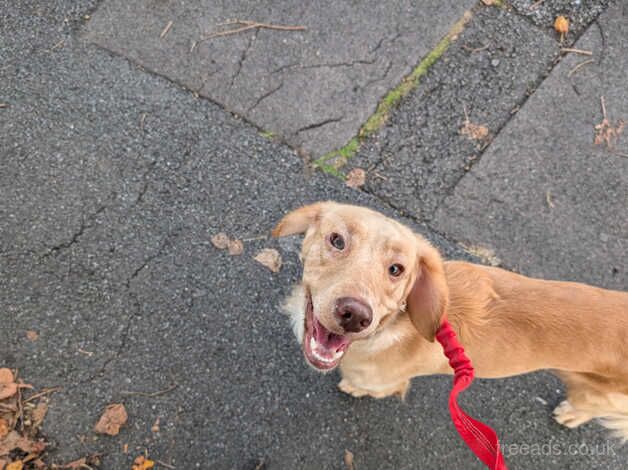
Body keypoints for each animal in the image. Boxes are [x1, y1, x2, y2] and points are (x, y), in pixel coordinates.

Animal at [272, 203, 628, 440]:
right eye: (337, 240)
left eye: (396, 269)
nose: (355, 315)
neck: (392, 326)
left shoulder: (384, 383)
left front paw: (352, 388)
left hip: (601, 395)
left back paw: (570, 414)